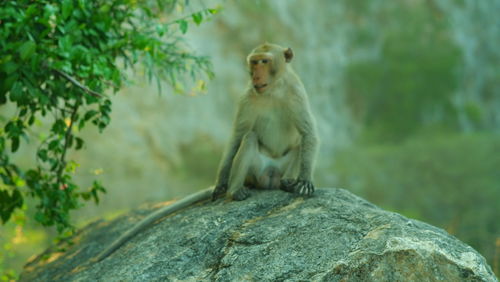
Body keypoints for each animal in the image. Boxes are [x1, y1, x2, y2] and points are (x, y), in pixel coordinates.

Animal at [93, 42, 318, 262]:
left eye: (265, 61)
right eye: (254, 63)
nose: (255, 76)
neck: (273, 91)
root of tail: (265, 180)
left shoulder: (296, 91)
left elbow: (307, 134)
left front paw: (304, 181)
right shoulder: (247, 97)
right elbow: (237, 137)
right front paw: (221, 183)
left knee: (299, 144)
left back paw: (287, 182)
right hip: (256, 171)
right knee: (249, 138)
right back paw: (234, 190)